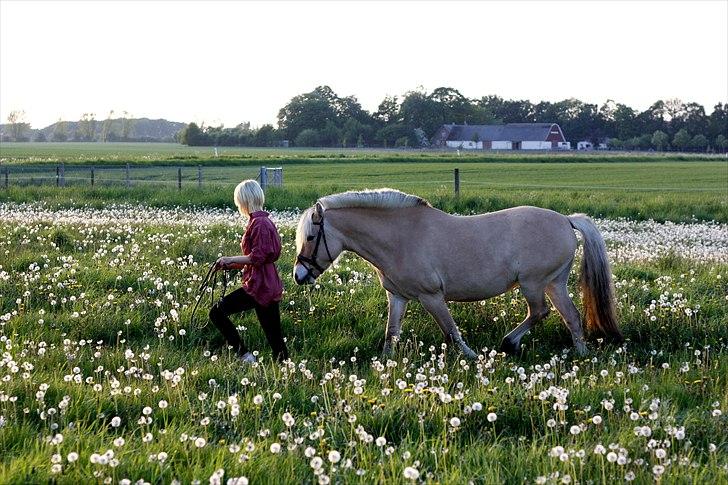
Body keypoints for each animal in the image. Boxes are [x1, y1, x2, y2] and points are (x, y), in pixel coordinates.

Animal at [292, 187, 624, 358]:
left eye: (310, 236)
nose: (298, 275)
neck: (400, 237)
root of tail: (567, 220)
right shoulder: (398, 297)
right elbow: (391, 334)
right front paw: (384, 365)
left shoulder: (431, 297)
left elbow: (451, 332)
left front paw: (473, 358)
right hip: (554, 283)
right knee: (571, 316)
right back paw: (579, 354)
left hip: (534, 283)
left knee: (541, 312)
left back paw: (511, 343)